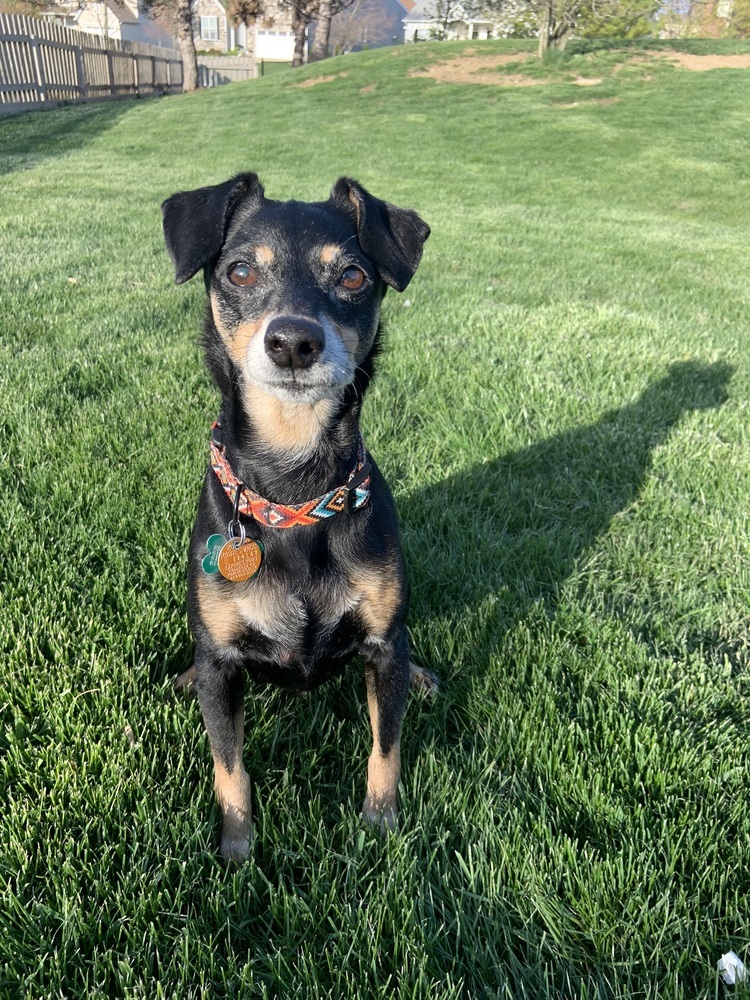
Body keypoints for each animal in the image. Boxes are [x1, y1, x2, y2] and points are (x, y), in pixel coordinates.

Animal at [163, 172, 434, 860]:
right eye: (238, 271)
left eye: (353, 276)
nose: (292, 341)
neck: (294, 487)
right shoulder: (224, 666)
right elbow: (228, 764)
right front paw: (237, 848)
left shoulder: (382, 648)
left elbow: (386, 748)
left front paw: (381, 825)